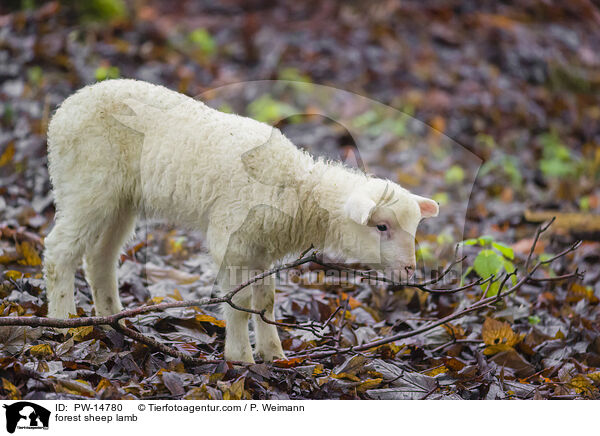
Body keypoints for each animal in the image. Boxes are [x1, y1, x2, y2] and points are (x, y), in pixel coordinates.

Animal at [44, 79, 438, 364]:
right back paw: (65, 324)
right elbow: (240, 305)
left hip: (120, 200)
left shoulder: (262, 249)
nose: (409, 269)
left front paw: (274, 354)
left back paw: (115, 321)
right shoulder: (230, 240)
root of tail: (63, 110)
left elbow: (265, 301)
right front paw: (241, 358)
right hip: (87, 184)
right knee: (59, 251)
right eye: (382, 227)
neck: (298, 189)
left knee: (100, 257)